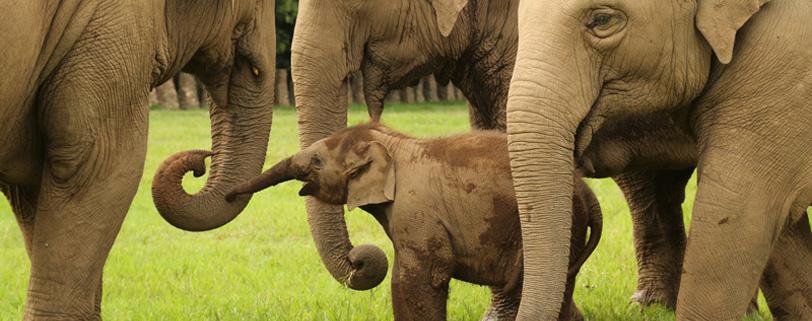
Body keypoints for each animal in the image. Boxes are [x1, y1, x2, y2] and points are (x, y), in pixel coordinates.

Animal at [225, 123, 600, 320]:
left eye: (316, 161)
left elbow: (420, 275)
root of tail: (584, 188)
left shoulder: (417, 210)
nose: (229, 194)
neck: (392, 142)